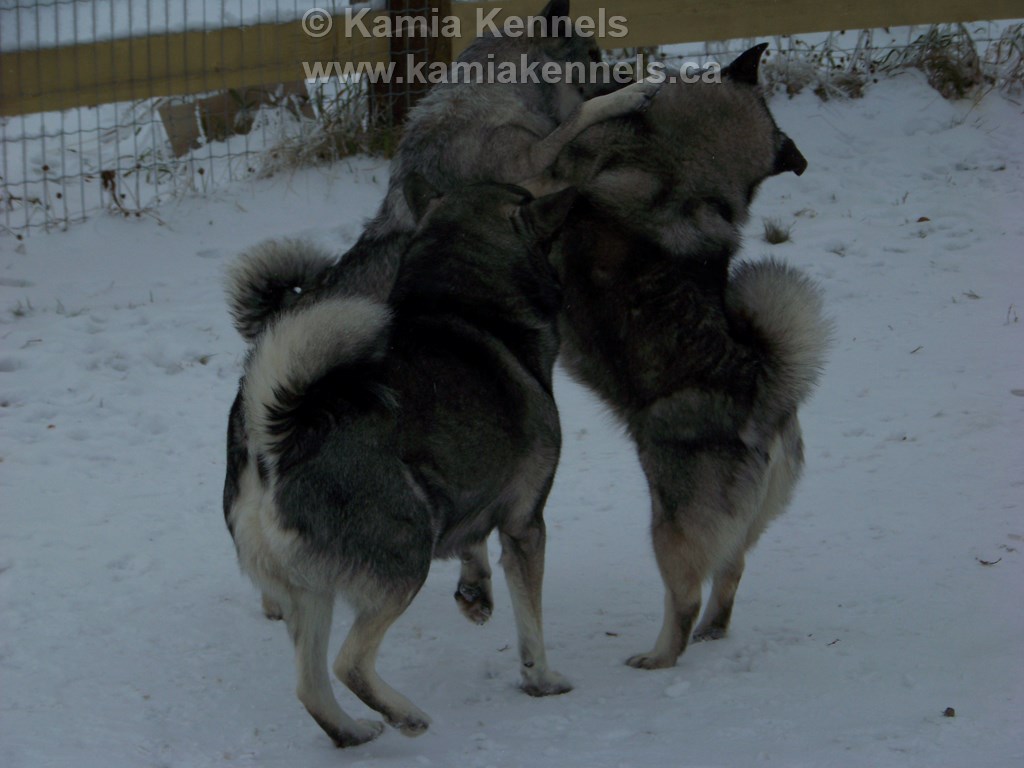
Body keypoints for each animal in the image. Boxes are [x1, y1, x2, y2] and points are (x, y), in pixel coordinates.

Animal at [222, 176, 577, 747]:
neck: (463, 300)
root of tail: (279, 435)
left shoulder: (465, 491)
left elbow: (471, 542)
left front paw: (475, 593)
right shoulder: (526, 523)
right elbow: (531, 625)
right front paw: (541, 680)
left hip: (312, 593)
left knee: (312, 686)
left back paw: (355, 732)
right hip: (405, 556)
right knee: (349, 664)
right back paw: (407, 715)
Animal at [548, 44, 832, 669]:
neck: (688, 171)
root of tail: (765, 396)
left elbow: (567, 135)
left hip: (672, 528)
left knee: (683, 597)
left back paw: (658, 658)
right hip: (735, 529)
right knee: (730, 574)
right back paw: (711, 632)